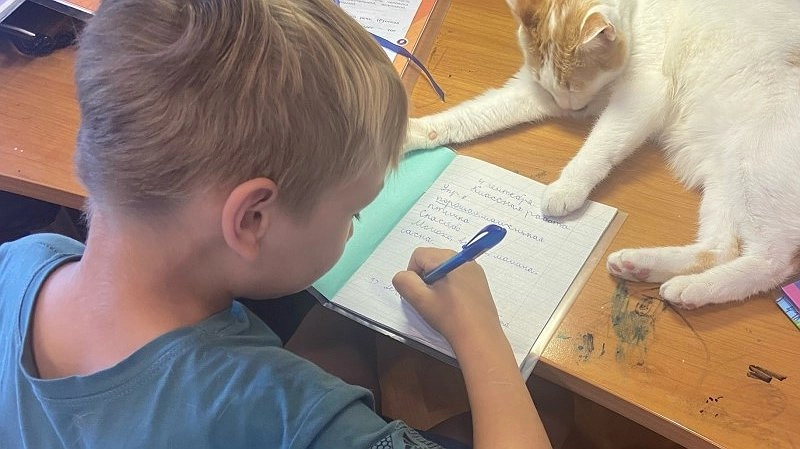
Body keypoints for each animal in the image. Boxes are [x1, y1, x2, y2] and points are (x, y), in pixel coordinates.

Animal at [404, 0, 800, 309]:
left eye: (574, 86)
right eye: (552, 88)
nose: (569, 109)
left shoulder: (642, 95)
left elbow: (600, 145)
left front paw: (567, 189)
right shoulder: (533, 91)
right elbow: (470, 116)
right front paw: (409, 132)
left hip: (756, 167)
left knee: (772, 262)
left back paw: (691, 288)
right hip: (724, 178)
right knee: (720, 248)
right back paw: (650, 270)